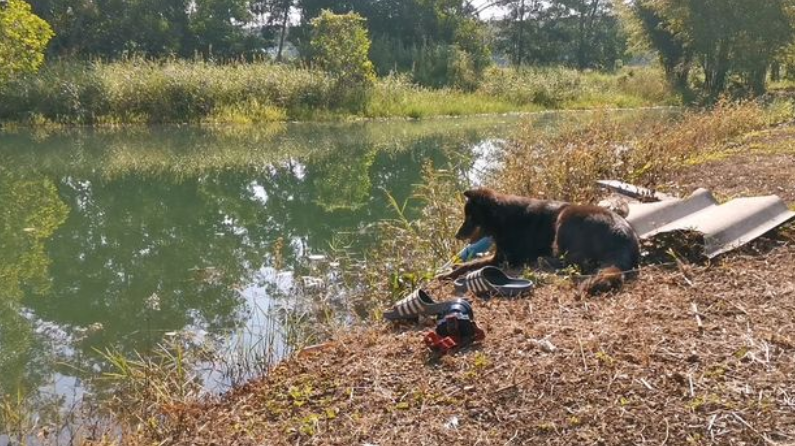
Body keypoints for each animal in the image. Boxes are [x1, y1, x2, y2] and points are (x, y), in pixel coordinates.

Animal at [448, 187, 640, 294]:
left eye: (471, 217)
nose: (456, 236)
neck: (503, 218)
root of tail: (622, 234)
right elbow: (469, 263)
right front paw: (453, 269)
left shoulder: (505, 259)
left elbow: (473, 264)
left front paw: (450, 273)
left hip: (565, 217)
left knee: (578, 263)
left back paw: (544, 261)